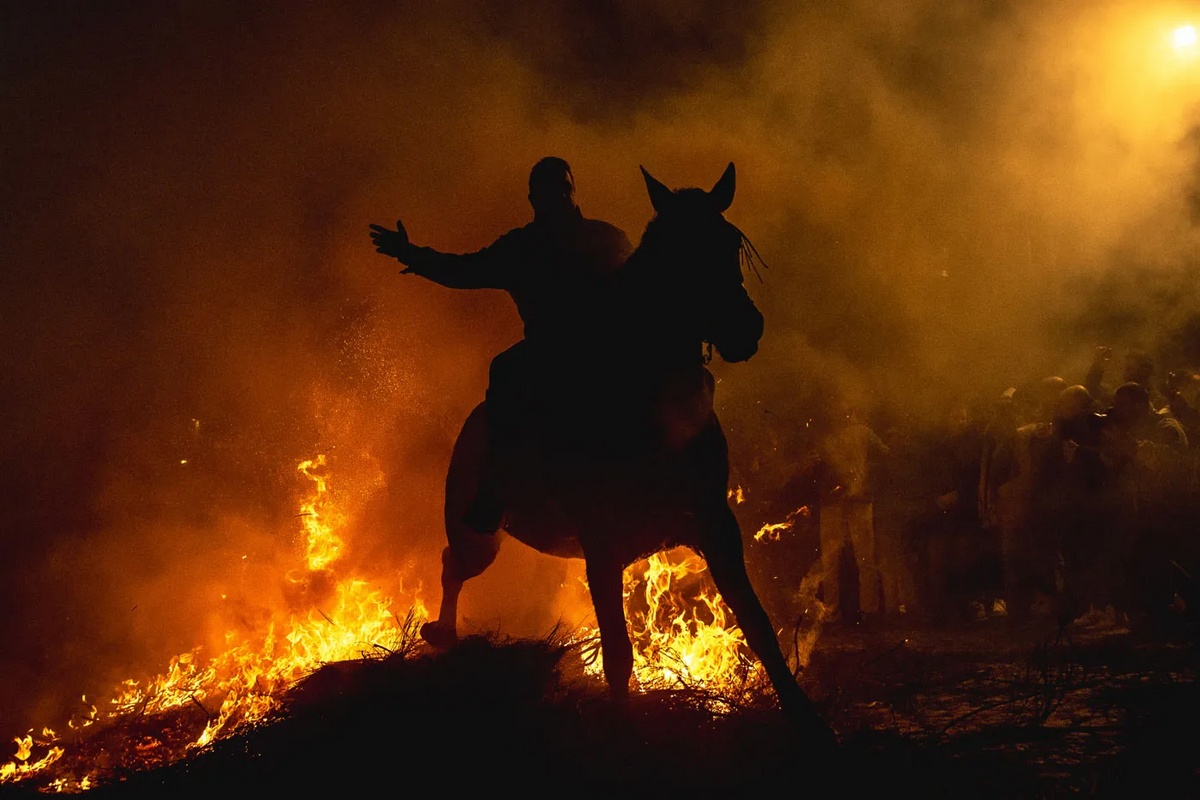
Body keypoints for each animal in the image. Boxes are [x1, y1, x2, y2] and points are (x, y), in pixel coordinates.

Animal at [420, 163, 835, 753]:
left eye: (728, 242)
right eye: (674, 251)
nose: (744, 328)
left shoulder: (715, 525)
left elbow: (757, 626)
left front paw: (808, 722)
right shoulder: (601, 542)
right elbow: (617, 652)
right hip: (477, 533)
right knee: (452, 564)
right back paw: (443, 632)